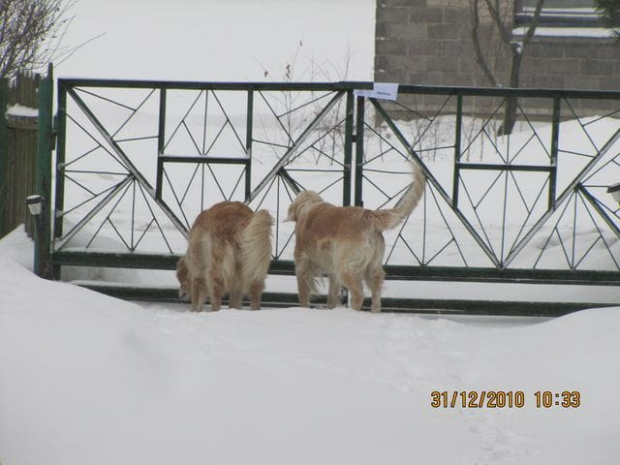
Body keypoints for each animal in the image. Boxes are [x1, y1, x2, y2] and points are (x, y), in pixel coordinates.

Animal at [284, 162, 424, 312]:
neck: (308, 205)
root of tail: (369, 215)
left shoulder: (302, 266)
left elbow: (303, 296)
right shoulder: (333, 274)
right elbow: (331, 297)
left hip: (346, 268)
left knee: (358, 294)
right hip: (372, 269)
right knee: (376, 295)